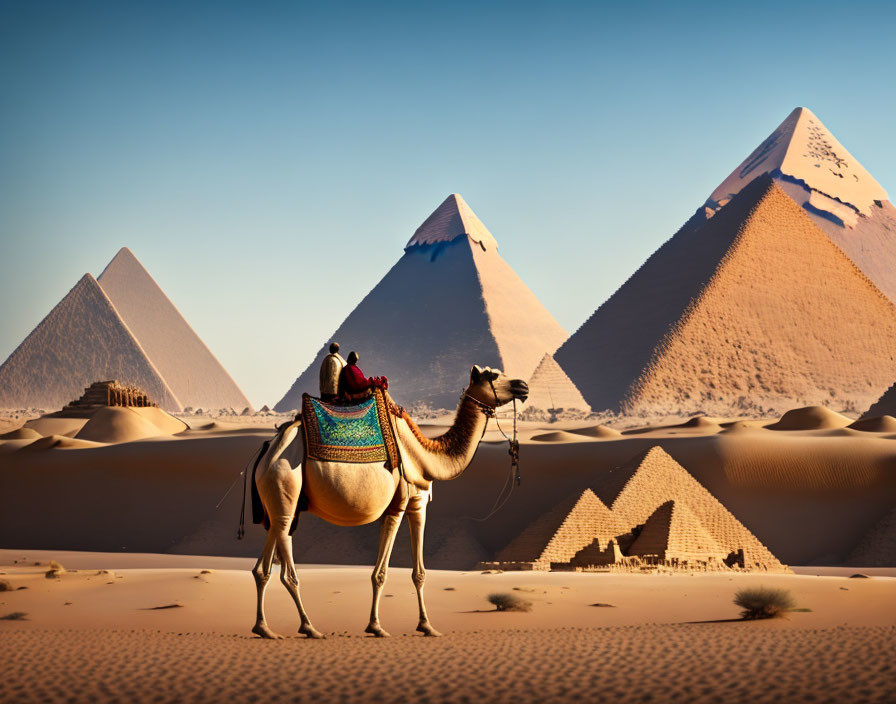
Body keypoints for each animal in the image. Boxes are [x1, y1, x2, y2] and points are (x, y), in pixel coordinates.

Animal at [248, 366, 528, 640]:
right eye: (494, 375)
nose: (522, 386)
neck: (426, 457)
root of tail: (268, 450)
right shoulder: (403, 503)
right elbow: (384, 573)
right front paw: (378, 626)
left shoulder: (414, 503)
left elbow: (418, 573)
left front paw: (425, 625)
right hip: (286, 486)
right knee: (287, 566)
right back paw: (309, 627)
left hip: (275, 503)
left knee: (263, 566)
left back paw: (264, 628)